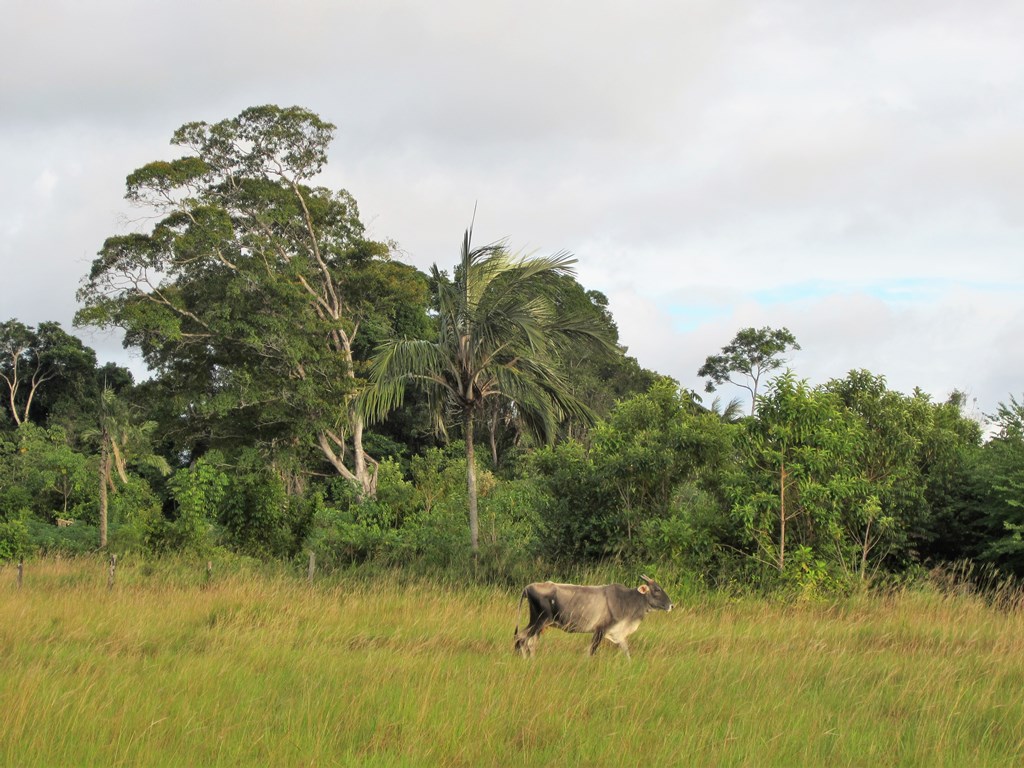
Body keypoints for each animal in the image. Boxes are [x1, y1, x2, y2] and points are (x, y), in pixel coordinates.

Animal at [512, 577, 671, 663]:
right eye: (657, 589)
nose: (671, 605)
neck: (627, 600)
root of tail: (528, 587)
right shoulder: (601, 630)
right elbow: (591, 651)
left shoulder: (617, 634)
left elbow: (626, 651)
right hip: (539, 622)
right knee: (521, 637)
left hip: (538, 624)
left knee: (529, 642)